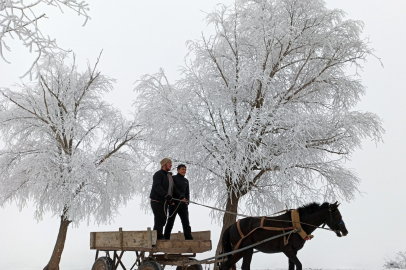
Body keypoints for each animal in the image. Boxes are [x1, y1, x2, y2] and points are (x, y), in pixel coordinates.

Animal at [220, 201, 348, 270]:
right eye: (336, 214)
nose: (345, 231)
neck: (297, 224)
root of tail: (232, 226)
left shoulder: (294, 251)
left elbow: (292, 266)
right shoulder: (287, 250)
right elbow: (299, 265)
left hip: (240, 251)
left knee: (226, 265)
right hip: (247, 250)